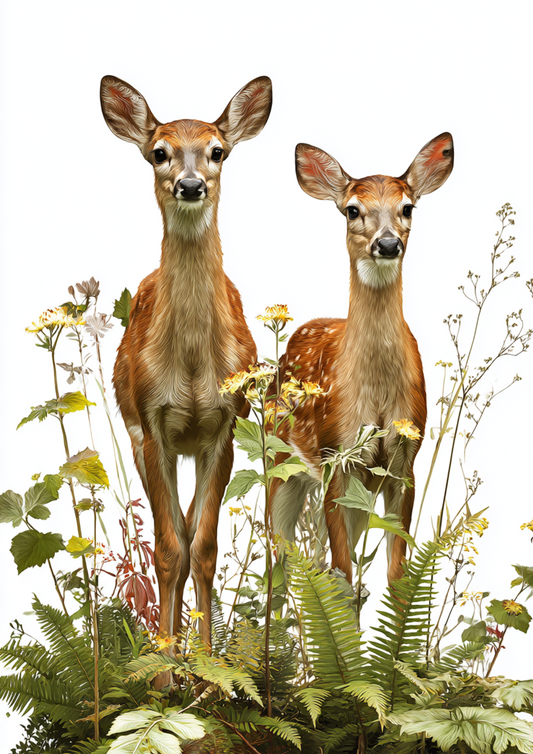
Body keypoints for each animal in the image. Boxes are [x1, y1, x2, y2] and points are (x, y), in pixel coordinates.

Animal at [100, 74, 272, 647]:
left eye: (218, 151)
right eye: (159, 152)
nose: (191, 185)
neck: (195, 367)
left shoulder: (225, 426)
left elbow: (204, 547)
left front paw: (206, 661)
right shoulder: (153, 424)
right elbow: (169, 549)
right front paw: (166, 663)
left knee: (191, 522)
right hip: (142, 440)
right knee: (171, 529)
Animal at [271, 133, 454, 584]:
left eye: (408, 207)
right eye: (352, 209)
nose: (387, 244)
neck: (376, 392)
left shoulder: (405, 457)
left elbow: (396, 571)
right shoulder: (335, 452)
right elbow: (340, 569)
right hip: (280, 456)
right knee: (280, 552)